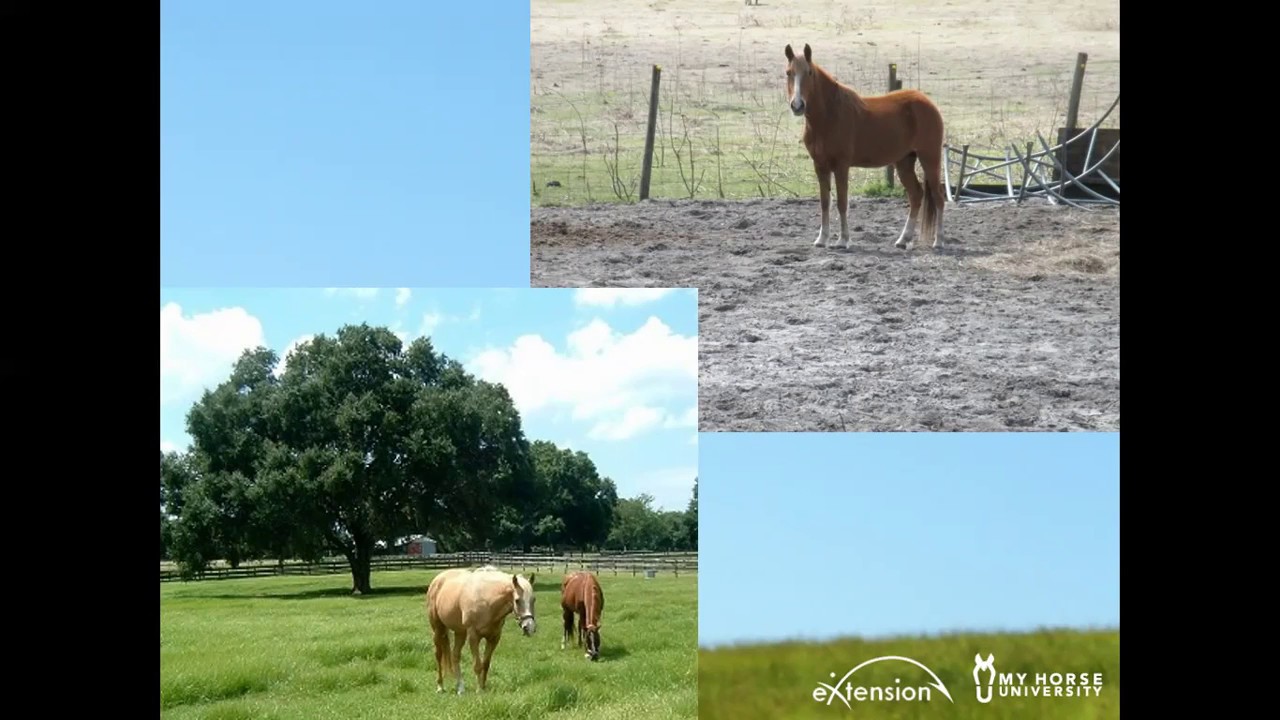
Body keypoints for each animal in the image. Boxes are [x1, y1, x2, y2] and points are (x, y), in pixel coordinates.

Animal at [426, 566, 538, 694]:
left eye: (533, 600)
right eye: (517, 600)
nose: (529, 627)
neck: (488, 600)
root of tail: (437, 579)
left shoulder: (494, 638)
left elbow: (486, 663)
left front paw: (483, 687)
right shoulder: (474, 636)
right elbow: (477, 665)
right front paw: (479, 690)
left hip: (460, 633)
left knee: (455, 656)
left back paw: (460, 688)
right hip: (437, 629)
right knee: (438, 655)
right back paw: (440, 686)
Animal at [784, 43, 947, 251]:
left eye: (809, 72)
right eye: (789, 73)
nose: (797, 105)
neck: (830, 115)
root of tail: (927, 102)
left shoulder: (841, 166)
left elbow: (842, 202)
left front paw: (843, 240)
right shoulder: (820, 166)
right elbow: (825, 202)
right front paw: (822, 239)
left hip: (930, 158)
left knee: (938, 196)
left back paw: (938, 241)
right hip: (904, 162)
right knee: (916, 195)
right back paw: (903, 239)